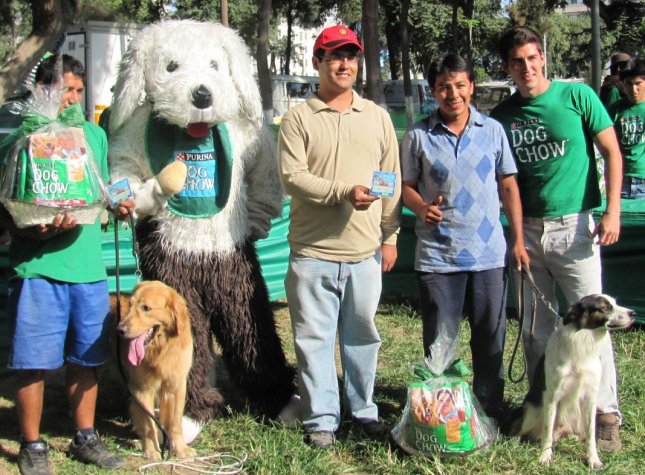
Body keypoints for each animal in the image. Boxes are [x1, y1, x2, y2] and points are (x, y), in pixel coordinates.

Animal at [113, 281, 196, 460]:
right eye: (130, 305)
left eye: (146, 308)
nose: (120, 330)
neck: (161, 350)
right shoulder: (141, 390)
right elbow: (148, 424)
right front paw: (152, 450)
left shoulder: (177, 385)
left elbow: (175, 422)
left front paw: (180, 448)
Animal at [512, 294, 635, 469]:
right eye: (605, 307)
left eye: (615, 303)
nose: (633, 313)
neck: (583, 341)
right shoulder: (551, 397)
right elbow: (547, 432)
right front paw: (545, 457)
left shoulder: (590, 398)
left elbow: (591, 435)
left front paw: (593, 459)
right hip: (532, 409)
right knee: (521, 430)